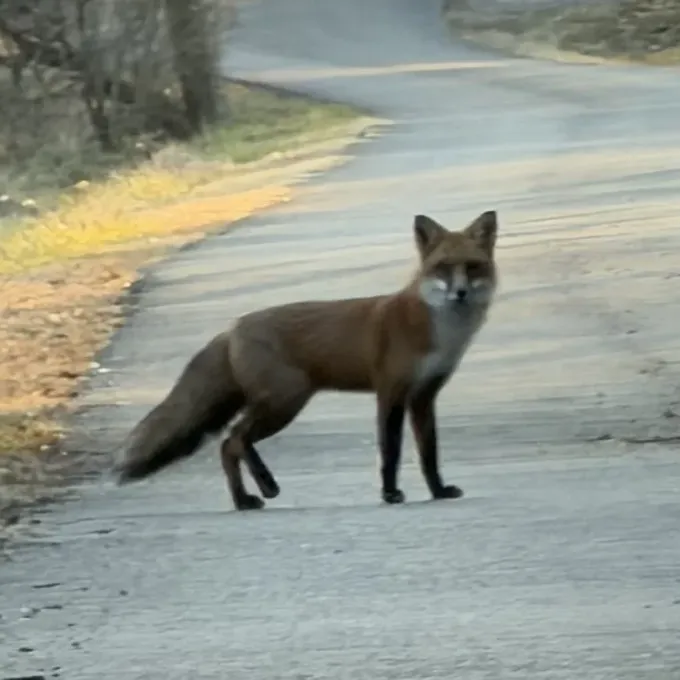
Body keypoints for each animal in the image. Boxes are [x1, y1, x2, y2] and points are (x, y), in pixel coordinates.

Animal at [115, 210, 499, 511]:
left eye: (472, 267)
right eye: (443, 268)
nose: (460, 293)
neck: (436, 331)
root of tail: (232, 327)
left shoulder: (423, 397)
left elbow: (429, 454)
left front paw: (438, 491)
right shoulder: (390, 392)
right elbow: (390, 452)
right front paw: (390, 494)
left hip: (279, 402)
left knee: (226, 446)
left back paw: (243, 501)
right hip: (286, 401)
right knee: (235, 438)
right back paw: (267, 485)